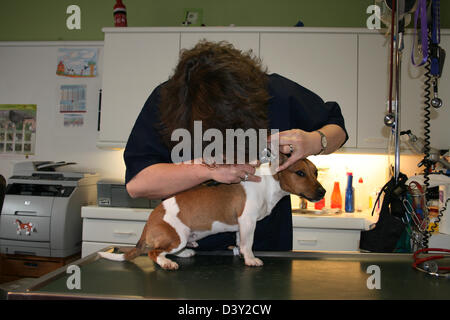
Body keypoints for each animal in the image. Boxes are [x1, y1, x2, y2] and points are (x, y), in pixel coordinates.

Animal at [99, 158, 324, 270]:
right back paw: (167, 263)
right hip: (178, 236)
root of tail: (148, 224)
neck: (269, 183)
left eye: (316, 172)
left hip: (182, 239)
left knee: (166, 250)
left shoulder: (241, 226)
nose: (323, 192)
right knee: (154, 253)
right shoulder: (248, 221)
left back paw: (184, 253)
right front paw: (251, 259)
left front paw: (241, 254)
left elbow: (241, 242)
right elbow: (248, 244)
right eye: (300, 173)